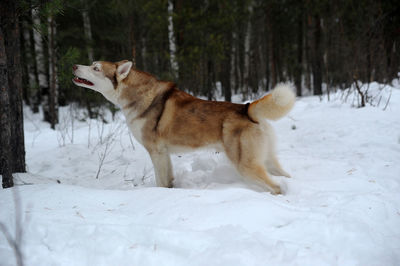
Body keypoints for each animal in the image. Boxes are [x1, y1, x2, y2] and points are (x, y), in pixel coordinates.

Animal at [73, 59, 296, 193]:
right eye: (91, 64)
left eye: (95, 68)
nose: (74, 66)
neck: (137, 96)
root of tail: (246, 108)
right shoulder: (164, 154)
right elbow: (168, 180)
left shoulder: (156, 152)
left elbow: (161, 182)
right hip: (267, 160)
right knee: (285, 176)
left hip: (246, 165)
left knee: (276, 187)